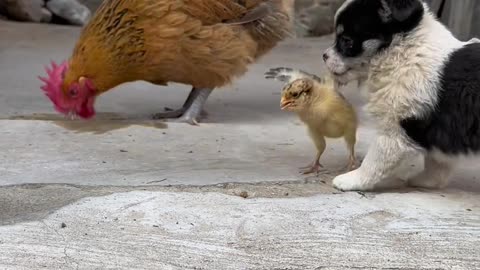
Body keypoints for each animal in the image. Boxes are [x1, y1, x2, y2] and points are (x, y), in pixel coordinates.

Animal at [322, 0, 480, 191]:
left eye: (346, 41)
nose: (324, 56)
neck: (401, 50)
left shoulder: (395, 127)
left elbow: (374, 160)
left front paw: (351, 180)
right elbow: (437, 162)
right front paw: (426, 181)